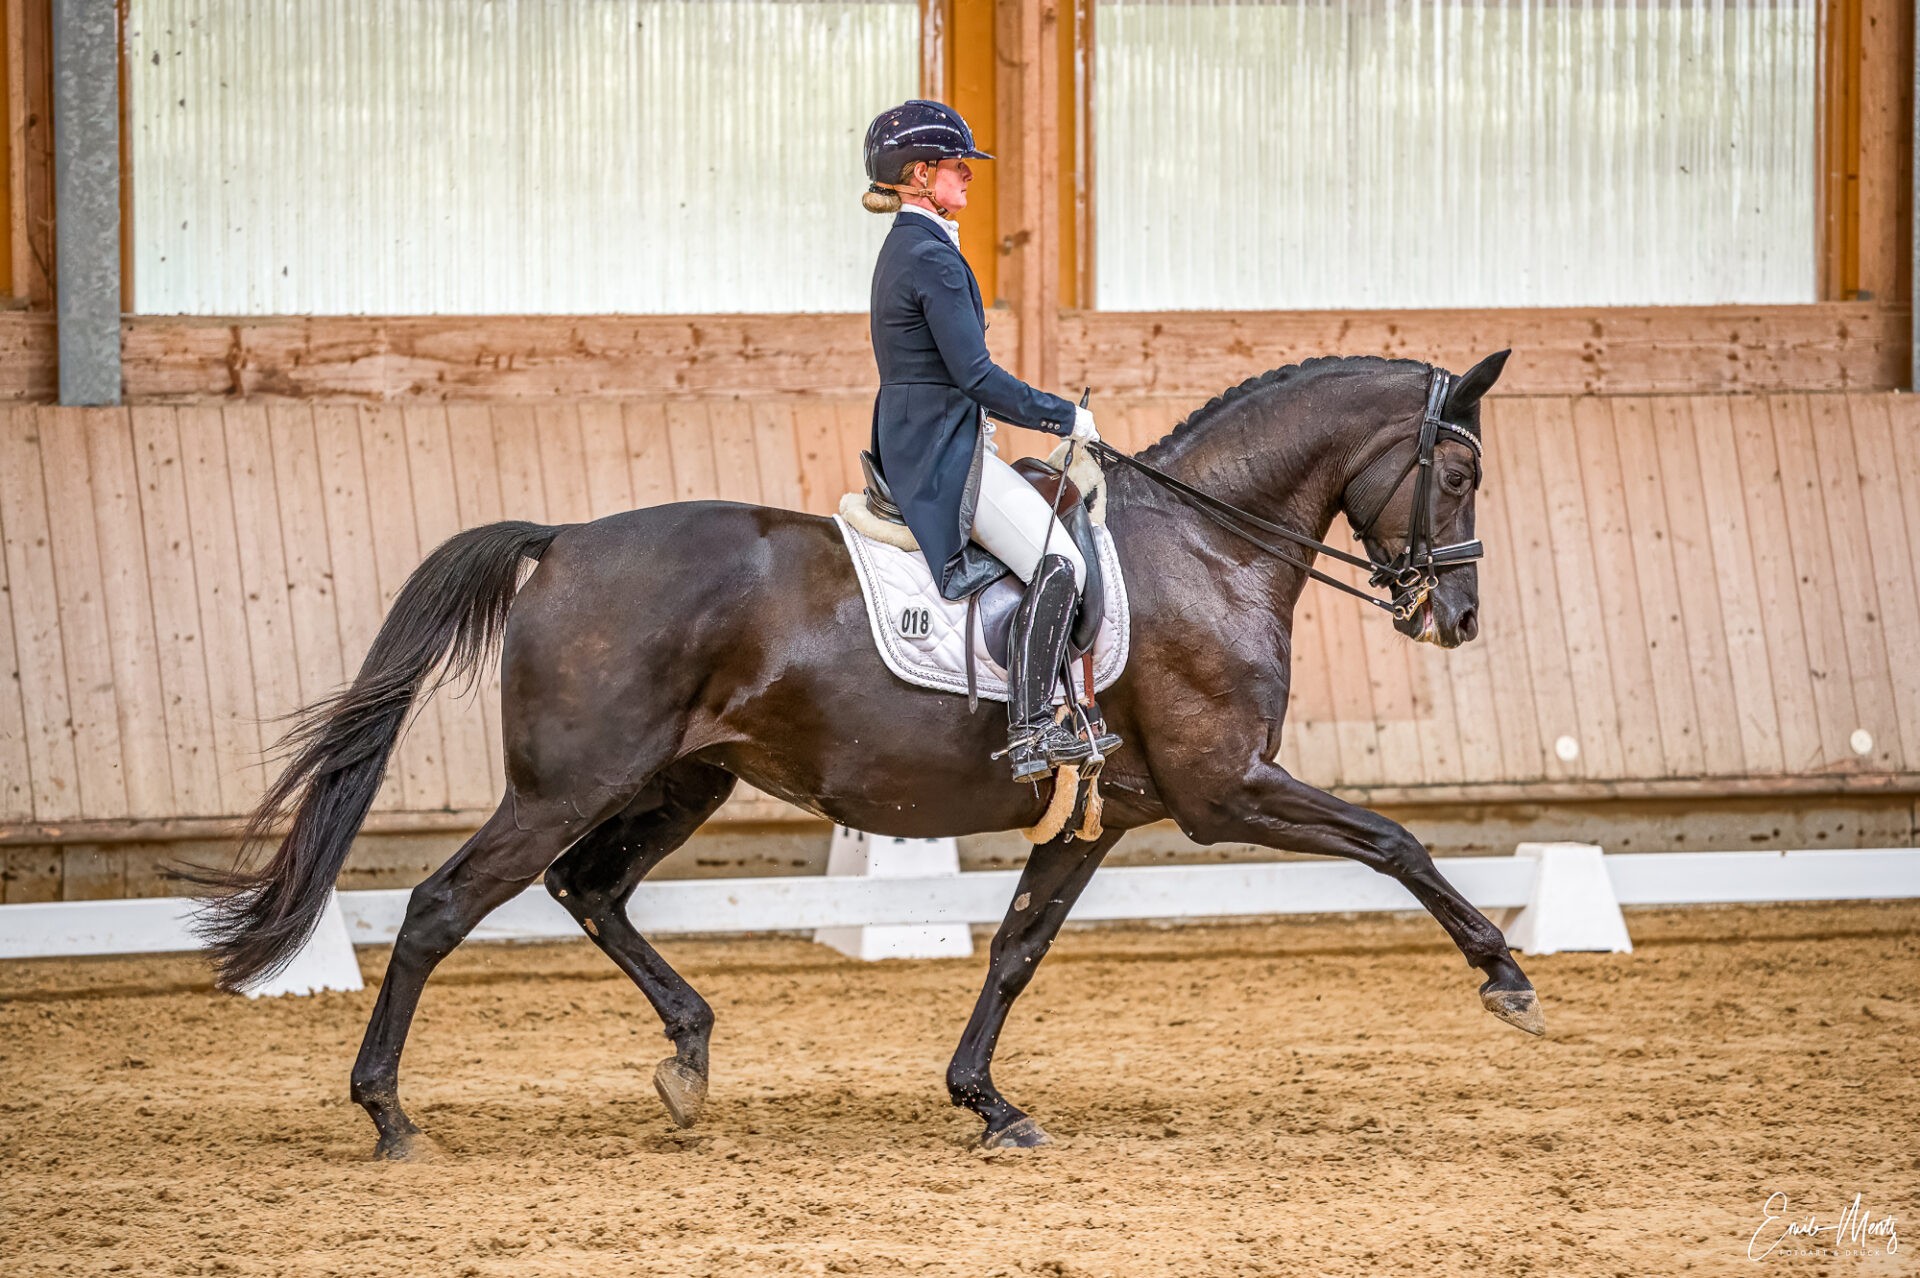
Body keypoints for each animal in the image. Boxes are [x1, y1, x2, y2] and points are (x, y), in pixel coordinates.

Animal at [198, 349, 1543, 1151]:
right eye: (1458, 472)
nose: (1459, 618)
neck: (1206, 553)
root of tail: (565, 538)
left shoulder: (1103, 813)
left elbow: (1016, 950)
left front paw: (986, 1103)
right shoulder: (1225, 793)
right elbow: (1394, 841)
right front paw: (1507, 978)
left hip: (679, 779)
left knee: (590, 890)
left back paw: (688, 1057)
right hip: (567, 783)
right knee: (441, 907)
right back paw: (388, 1114)